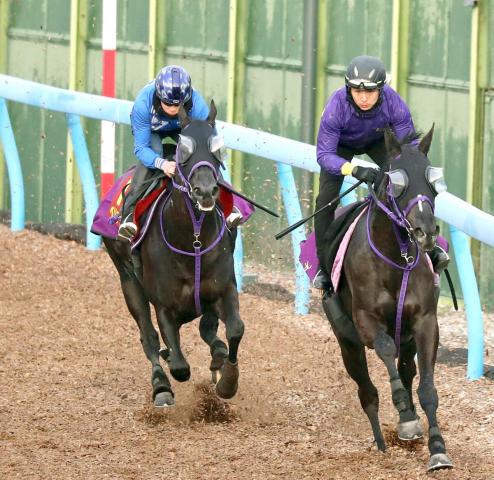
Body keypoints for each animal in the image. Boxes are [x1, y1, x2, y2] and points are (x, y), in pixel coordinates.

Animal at [104, 100, 245, 404]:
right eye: (183, 149)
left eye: (217, 146)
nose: (205, 191)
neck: (193, 242)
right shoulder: (164, 307)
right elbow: (179, 365)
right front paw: (170, 367)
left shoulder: (224, 289)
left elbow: (235, 329)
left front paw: (228, 380)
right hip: (128, 279)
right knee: (148, 337)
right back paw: (161, 384)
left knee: (207, 331)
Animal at [322, 125, 454, 470]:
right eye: (397, 183)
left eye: (433, 181)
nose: (425, 231)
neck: (397, 259)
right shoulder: (366, 322)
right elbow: (384, 349)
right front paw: (406, 419)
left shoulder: (425, 322)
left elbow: (427, 388)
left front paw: (437, 449)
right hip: (347, 342)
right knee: (367, 392)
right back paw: (382, 443)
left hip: (406, 338)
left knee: (406, 370)